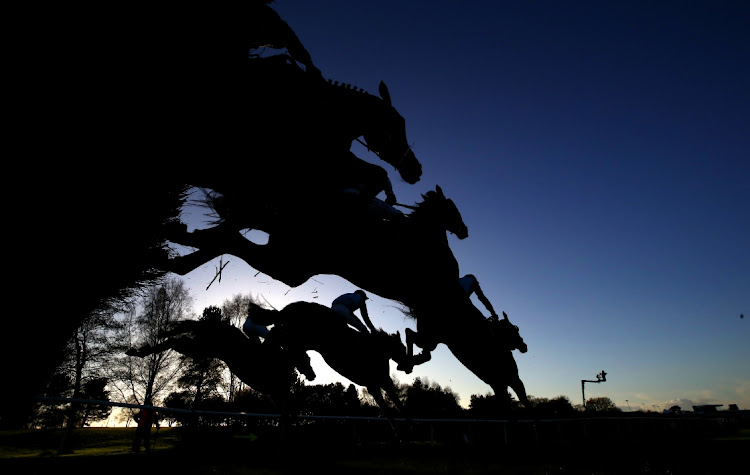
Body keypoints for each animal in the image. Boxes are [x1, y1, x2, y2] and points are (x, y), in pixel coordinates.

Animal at [248, 302, 412, 438]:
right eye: (402, 348)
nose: (408, 367)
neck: (377, 348)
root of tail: (291, 307)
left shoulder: (374, 386)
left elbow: (390, 409)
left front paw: (402, 432)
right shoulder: (380, 382)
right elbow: (395, 407)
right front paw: (405, 432)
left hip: (298, 340)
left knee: (278, 337)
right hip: (298, 337)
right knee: (276, 336)